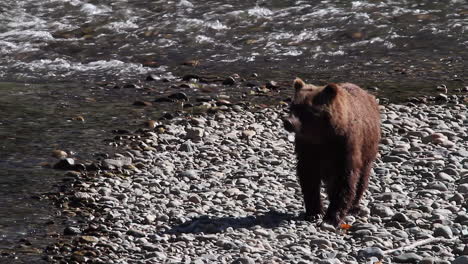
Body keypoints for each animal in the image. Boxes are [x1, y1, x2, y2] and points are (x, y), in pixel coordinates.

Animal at [286, 77, 380, 226]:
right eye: (293, 106)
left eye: (307, 110)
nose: (288, 122)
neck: (323, 136)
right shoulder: (307, 147)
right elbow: (308, 176)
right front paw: (314, 212)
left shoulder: (345, 146)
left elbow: (346, 179)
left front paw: (332, 216)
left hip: (368, 148)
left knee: (362, 177)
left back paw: (354, 206)